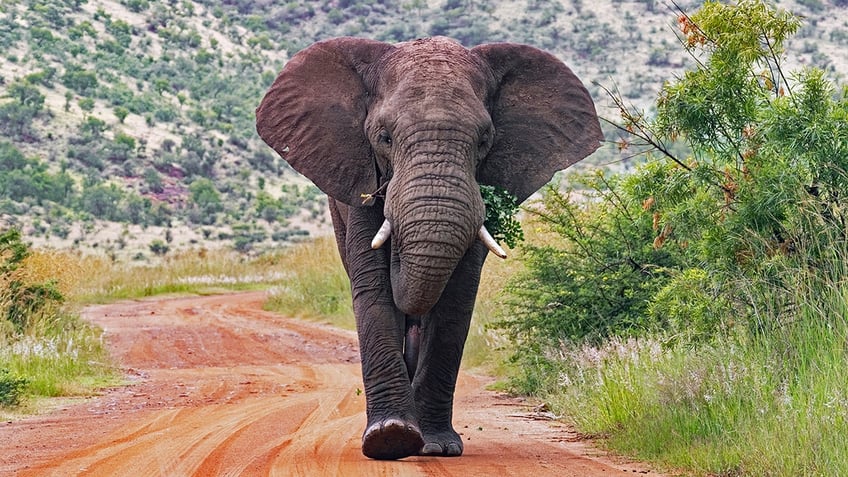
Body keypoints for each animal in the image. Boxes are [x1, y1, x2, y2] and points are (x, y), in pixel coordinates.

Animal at [256, 36, 601, 460]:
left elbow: (455, 298)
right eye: (384, 137)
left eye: (484, 140)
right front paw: (390, 438)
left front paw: (436, 447)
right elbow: (374, 289)